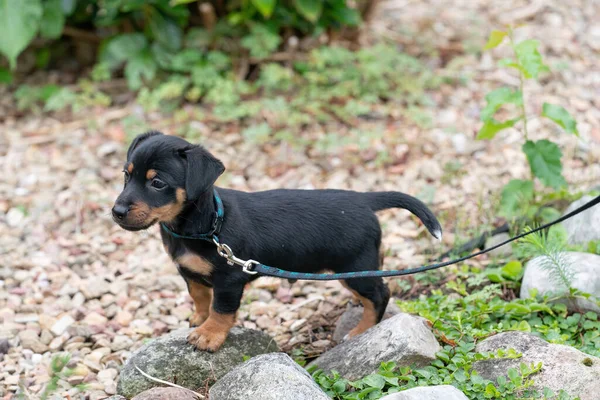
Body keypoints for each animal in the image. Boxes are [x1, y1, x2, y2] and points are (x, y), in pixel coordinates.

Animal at [111, 131, 440, 350]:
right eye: (126, 175)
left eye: (157, 183)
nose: (117, 212)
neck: (204, 226)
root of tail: (363, 200)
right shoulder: (188, 271)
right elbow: (200, 296)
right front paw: (198, 318)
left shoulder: (229, 279)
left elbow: (221, 309)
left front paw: (209, 334)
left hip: (354, 264)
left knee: (381, 294)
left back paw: (361, 331)